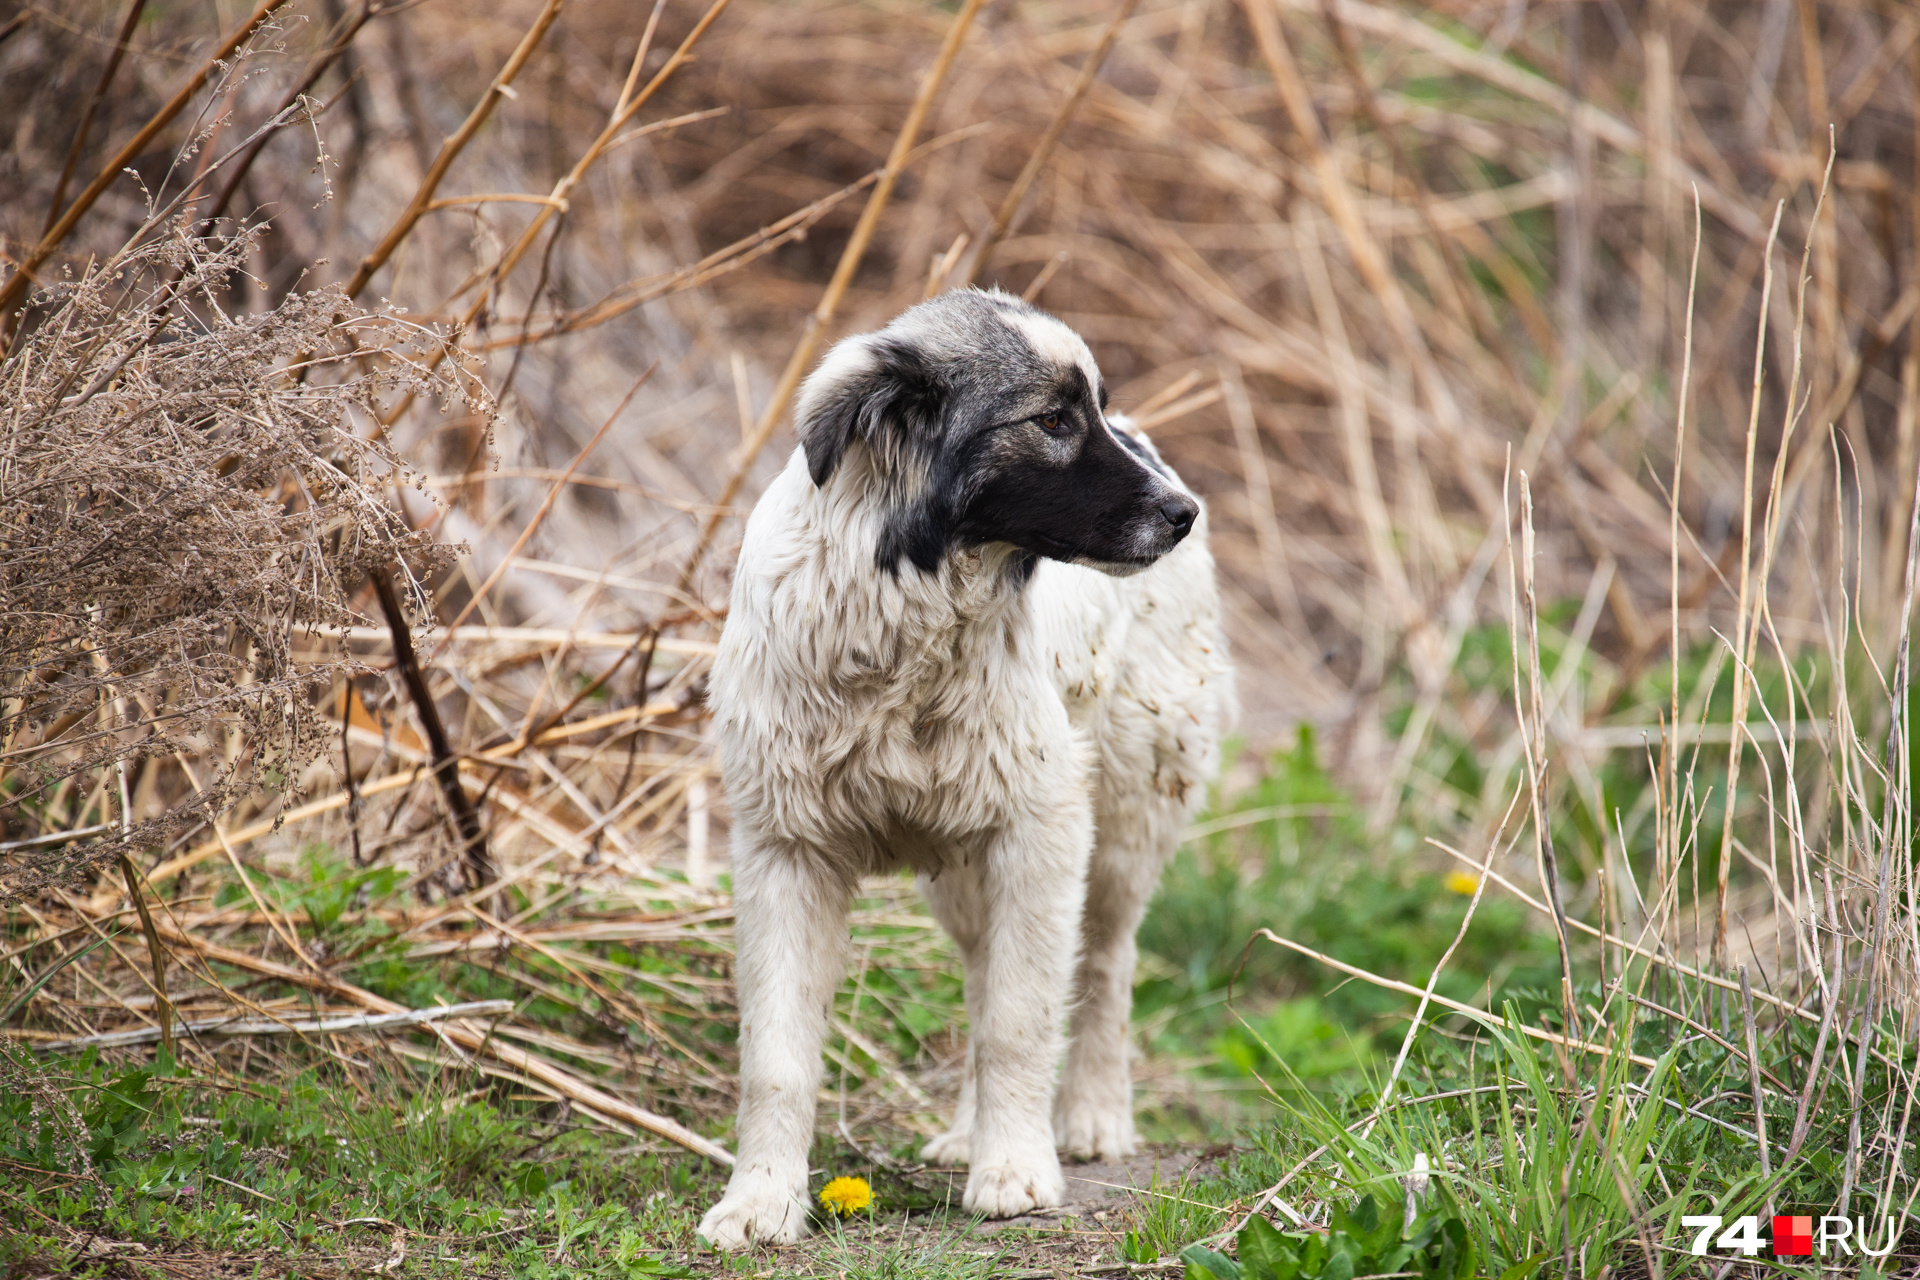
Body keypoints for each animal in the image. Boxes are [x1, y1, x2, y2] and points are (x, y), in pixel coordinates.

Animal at [695, 293, 1228, 1251]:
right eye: (1052, 421)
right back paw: (969, 1130)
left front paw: (1015, 1170)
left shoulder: (1041, 831)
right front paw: (760, 1201)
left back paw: (1091, 1116)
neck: (902, 621)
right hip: (965, 875)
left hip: (1121, 831)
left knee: (1104, 967)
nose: (1184, 511)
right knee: (988, 977)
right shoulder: (784, 852)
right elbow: (777, 1058)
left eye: (1089, 409)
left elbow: (1021, 1021)